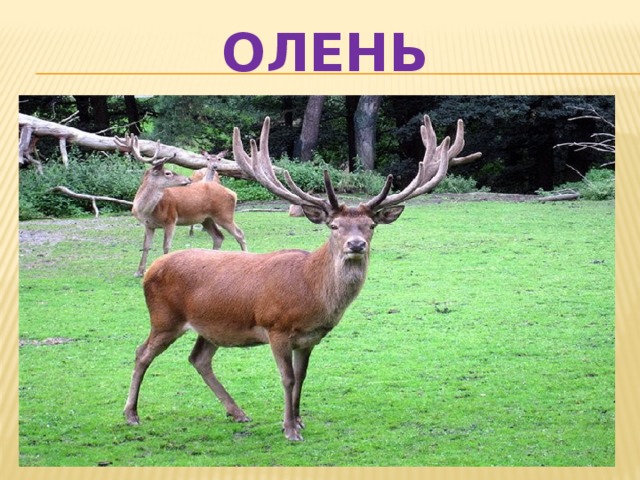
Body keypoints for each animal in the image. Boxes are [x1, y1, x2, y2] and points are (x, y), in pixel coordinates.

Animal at [114, 135, 247, 277]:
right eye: (168, 173)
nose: (188, 179)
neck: (147, 211)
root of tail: (233, 194)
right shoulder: (148, 225)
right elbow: (145, 246)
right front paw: (139, 271)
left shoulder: (171, 219)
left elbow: (166, 246)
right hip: (207, 219)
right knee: (218, 237)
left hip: (224, 214)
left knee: (239, 234)